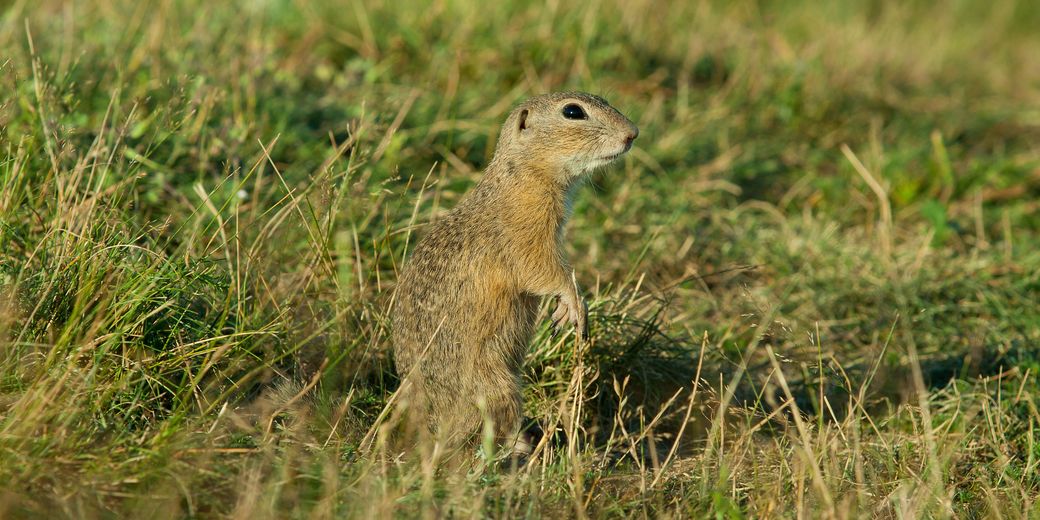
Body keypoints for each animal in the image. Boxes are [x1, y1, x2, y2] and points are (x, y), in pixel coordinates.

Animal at [388, 91, 632, 457]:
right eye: (573, 112)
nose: (632, 134)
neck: (524, 174)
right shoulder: (528, 234)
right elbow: (545, 271)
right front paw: (575, 305)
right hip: (497, 387)